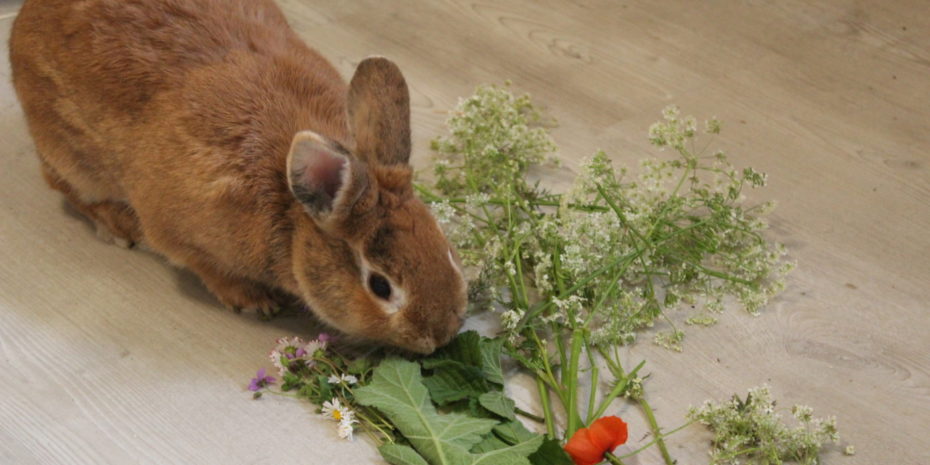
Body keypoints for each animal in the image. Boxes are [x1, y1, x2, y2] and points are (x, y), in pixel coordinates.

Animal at [9, 0, 467, 354]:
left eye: (445, 249)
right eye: (380, 286)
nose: (440, 335)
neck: (292, 217)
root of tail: (24, 20)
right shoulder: (180, 233)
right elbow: (203, 265)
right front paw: (254, 302)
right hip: (71, 157)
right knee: (64, 186)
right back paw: (118, 227)